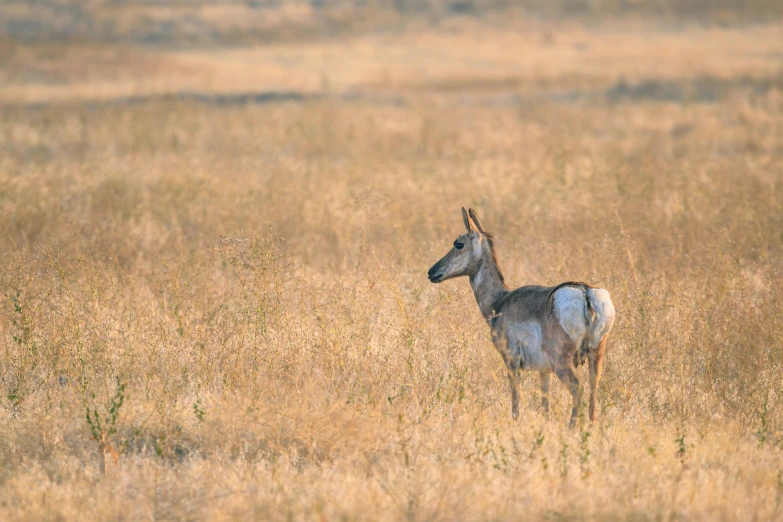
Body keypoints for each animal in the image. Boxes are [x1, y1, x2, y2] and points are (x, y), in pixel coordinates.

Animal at [428, 205, 620, 424]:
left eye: (458, 243)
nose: (431, 271)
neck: (501, 300)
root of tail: (585, 291)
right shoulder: (545, 371)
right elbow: (545, 405)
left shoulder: (511, 362)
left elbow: (515, 400)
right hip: (596, 356)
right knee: (593, 395)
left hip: (562, 362)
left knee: (577, 389)